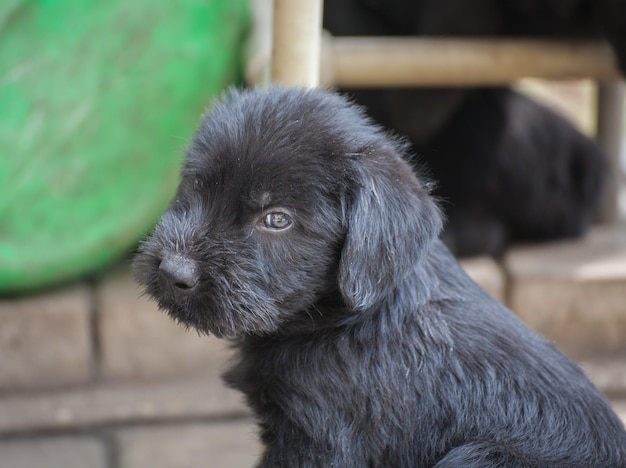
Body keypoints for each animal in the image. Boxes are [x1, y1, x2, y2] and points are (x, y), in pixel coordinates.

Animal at [133, 87, 624, 464]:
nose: (174, 271)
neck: (344, 321)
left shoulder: (318, 440)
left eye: (276, 219)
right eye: (196, 187)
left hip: (480, 456)